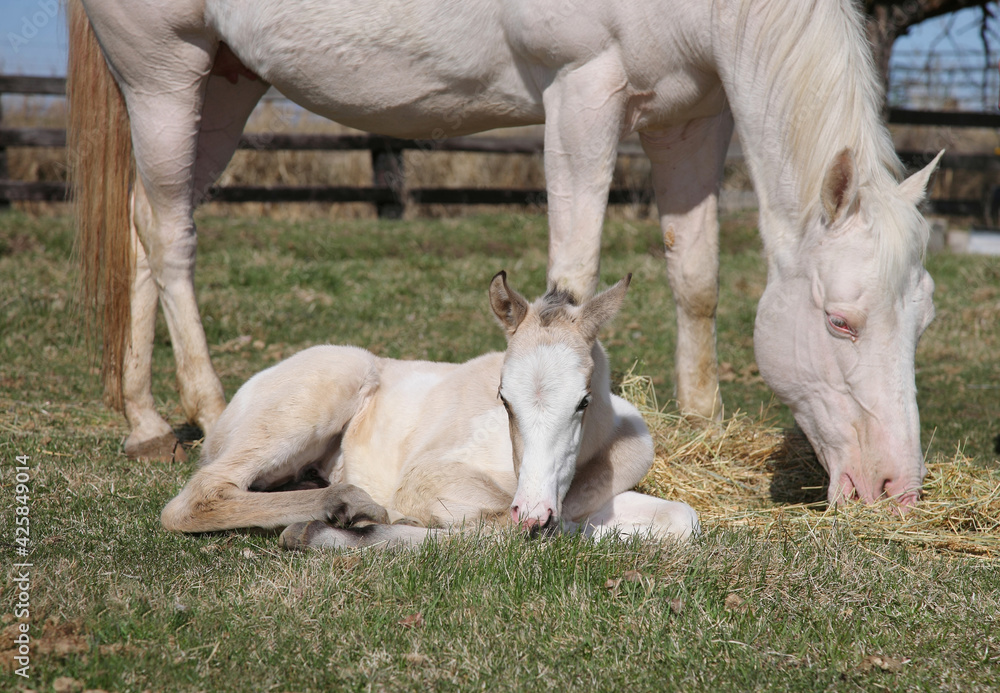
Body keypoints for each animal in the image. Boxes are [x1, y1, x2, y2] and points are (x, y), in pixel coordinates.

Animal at [72, 0, 944, 508]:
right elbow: (574, 274)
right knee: (167, 234)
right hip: (164, 73)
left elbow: (694, 275)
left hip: (222, 83)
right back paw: (202, 407)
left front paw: (701, 423)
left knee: (146, 222)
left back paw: (144, 419)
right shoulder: (582, 92)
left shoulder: (690, 118)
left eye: (924, 320)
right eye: (840, 321)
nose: (896, 486)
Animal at [160, 272, 700, 548]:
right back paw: (342, 507)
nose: (534, 513)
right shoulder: (427, 478)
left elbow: (681, 520)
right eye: (503, 399)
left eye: (583, 401)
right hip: (320, 391)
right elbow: (494, 528)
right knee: (199, 496)